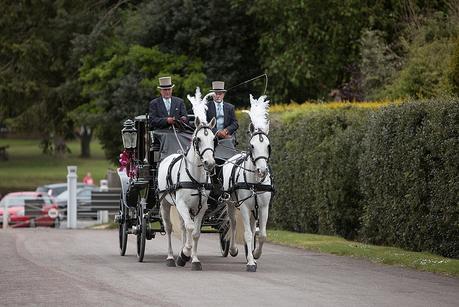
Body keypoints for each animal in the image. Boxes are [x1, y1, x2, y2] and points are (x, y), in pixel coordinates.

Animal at [157, 88, 217, 270]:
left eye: (214, 139)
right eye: (198, 139)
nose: (210, 163)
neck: (195, 178)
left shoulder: (201, 207)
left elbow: (195, 232)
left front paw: (194, 259)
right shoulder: (182, 204)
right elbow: (190, 227)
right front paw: (184, 254)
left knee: (183, 227)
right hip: (165, 203)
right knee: (169, 228)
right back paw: (171, 257)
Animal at [222, 94, 274, 272]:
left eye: (268, 146)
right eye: (252, 145)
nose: (262, 171)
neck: (254, 183)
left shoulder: (263, 207)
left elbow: (262, 234)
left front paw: (255, 254)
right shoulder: (243, 206)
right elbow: (248, 234)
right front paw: (251, 262)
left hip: (253, 209)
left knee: (251, 227)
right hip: (231, 204)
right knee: (232, 224)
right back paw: (233, 249)